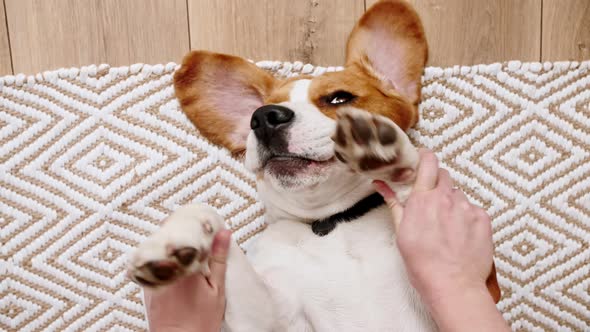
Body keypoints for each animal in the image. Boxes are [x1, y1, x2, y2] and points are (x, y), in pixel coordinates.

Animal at [128, 1, 500, 330]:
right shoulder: (266, 320)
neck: (330, 222)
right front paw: (173, 241)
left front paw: (385, 151)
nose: (264, 117)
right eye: (257, 115)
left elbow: (414, 185)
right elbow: (203, 211)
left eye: (339, 98)